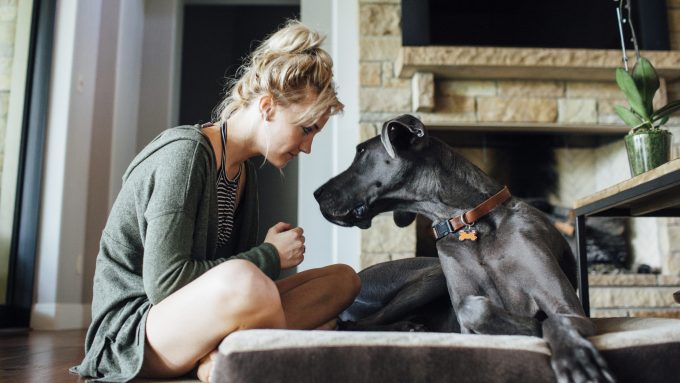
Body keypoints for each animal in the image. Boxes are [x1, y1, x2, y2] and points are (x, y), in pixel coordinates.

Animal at [314, 115, 616, 383]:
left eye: (361, 153)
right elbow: (475, 308)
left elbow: (554, 321)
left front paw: (575, 357)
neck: (470, 222)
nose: (316, 193)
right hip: (430, 276)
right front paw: (530, 328)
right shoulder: (465, 320)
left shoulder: (569, 307)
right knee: (352, 325)